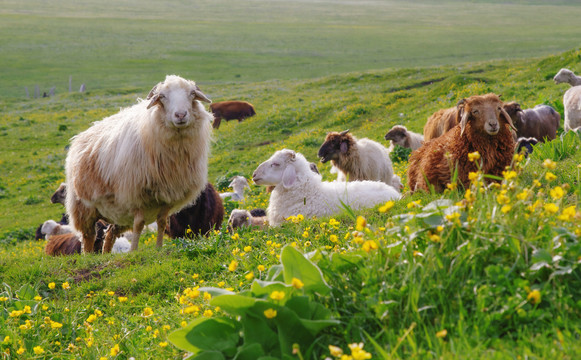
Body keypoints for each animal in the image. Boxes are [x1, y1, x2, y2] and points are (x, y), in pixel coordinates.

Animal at [64, 74, 213, 253]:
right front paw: (133, 251)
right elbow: (139, 224)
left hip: (119, 214)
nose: (180, 115)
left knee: (110, 234)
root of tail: (79, 137)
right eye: (162, 96)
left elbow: (162, 222)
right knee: (88, 237)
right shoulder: (137, 194)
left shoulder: (168, 194)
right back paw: (89, 255)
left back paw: (106, 253)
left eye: (191, 94)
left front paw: (158, 248)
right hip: (84, 208)